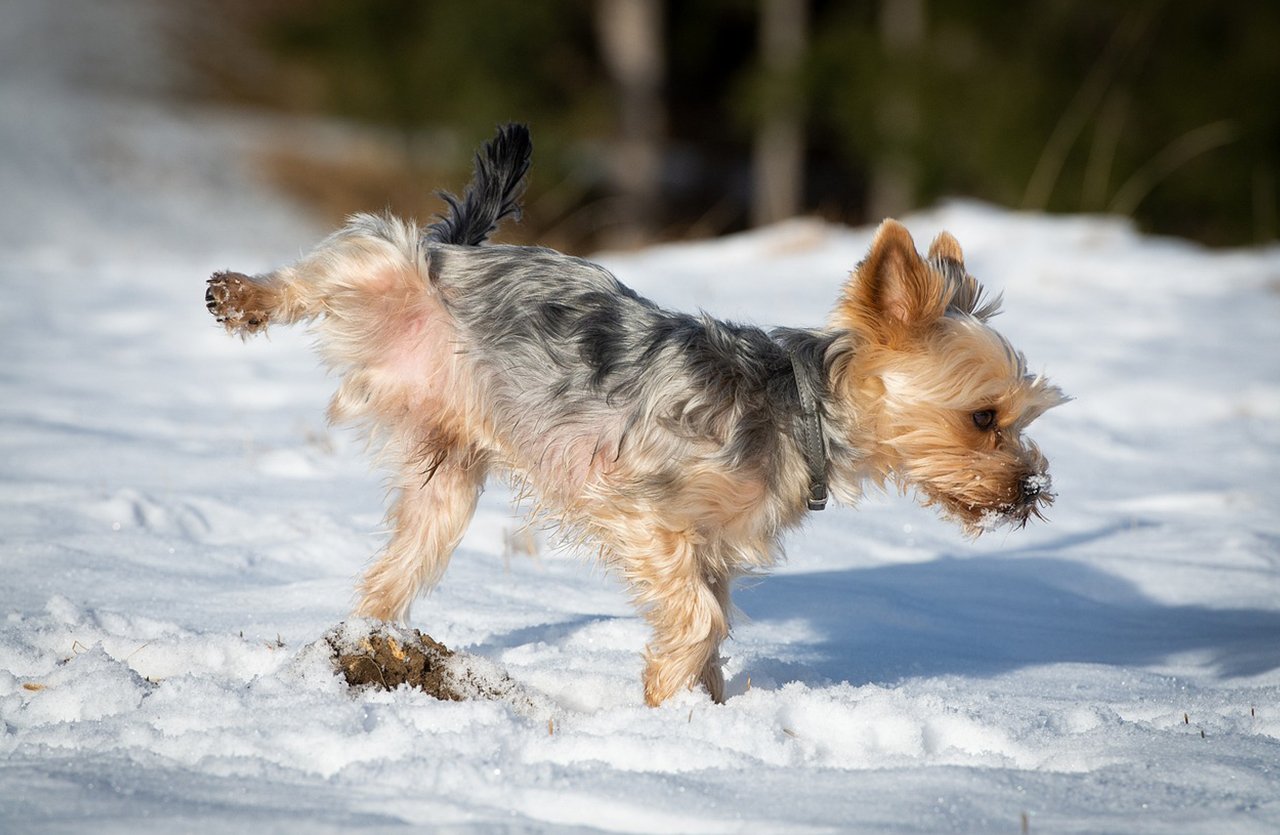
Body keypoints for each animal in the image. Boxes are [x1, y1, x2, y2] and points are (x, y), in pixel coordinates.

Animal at [207, 124, 1070, 706]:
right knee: (342, 255)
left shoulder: (714, 548)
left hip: (446, 480)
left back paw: (366, 641)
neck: (802, 411)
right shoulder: (643, 509)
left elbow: (712, 623)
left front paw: (701, 715)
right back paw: (241, 295)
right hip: (389, 266)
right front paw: (664, 694)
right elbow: (699, 619)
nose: (1032, 489)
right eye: (985, 417)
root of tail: (463, 248)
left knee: (397, 565)